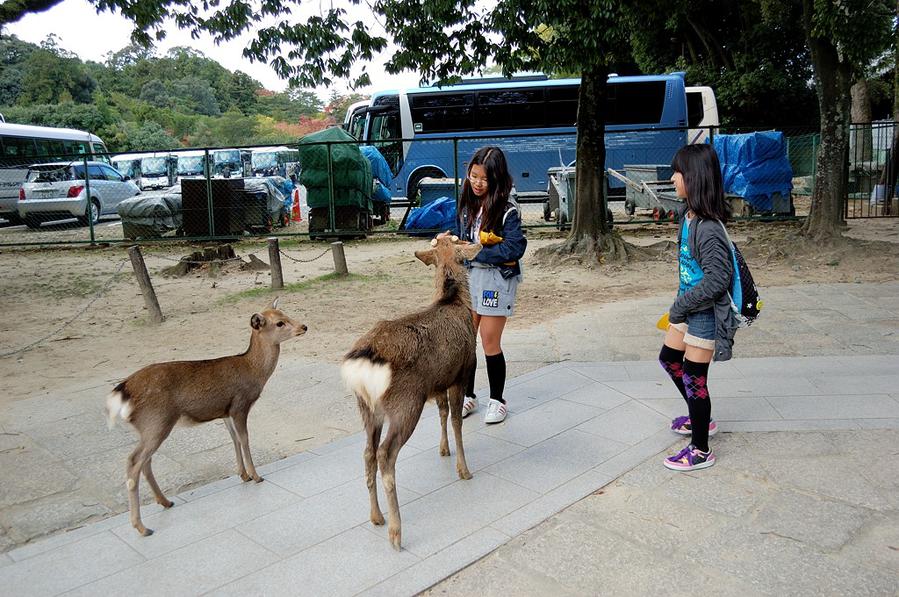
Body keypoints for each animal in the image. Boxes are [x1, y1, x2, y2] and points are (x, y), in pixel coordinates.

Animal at [105, 298, 308, 536]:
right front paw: (257, 476)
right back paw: (142, 527)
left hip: (148, 428)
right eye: (279, 323)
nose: (304, 326)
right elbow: (245, 438)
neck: (253, 372)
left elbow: (234, 439)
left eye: (286, 314)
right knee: (134, 461)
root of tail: (122, 391)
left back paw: (165, 502)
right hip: (156, 421)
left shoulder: (225, 411)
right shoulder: (240, 405)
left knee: (145, 461)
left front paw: (243, 475)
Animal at [342, 234, 482, 548]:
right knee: (385, 454)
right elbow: (456, 421)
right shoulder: (462, 372)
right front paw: (464, 470)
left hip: (367, 408)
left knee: (367, 453)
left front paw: (443, 450)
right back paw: (396, 531)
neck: (454, 301)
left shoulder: (438, 381)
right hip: (406, 403)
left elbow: (442, 413)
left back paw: (376, 516)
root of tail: (364, 361)